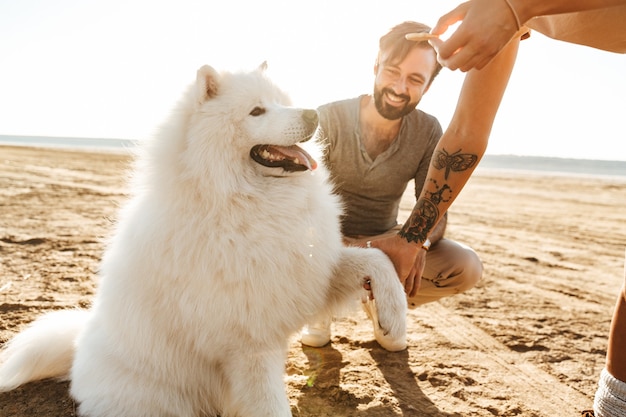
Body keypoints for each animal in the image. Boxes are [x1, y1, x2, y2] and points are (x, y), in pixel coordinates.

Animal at [0, 63, 404, 414]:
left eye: (281, 102)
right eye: (256, 111)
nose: (312, 114)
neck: (239, 201)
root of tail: (77, 350)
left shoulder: (309, 272)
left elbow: (378, 260)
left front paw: (394, 319)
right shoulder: (250, 343)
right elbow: (269, 405)